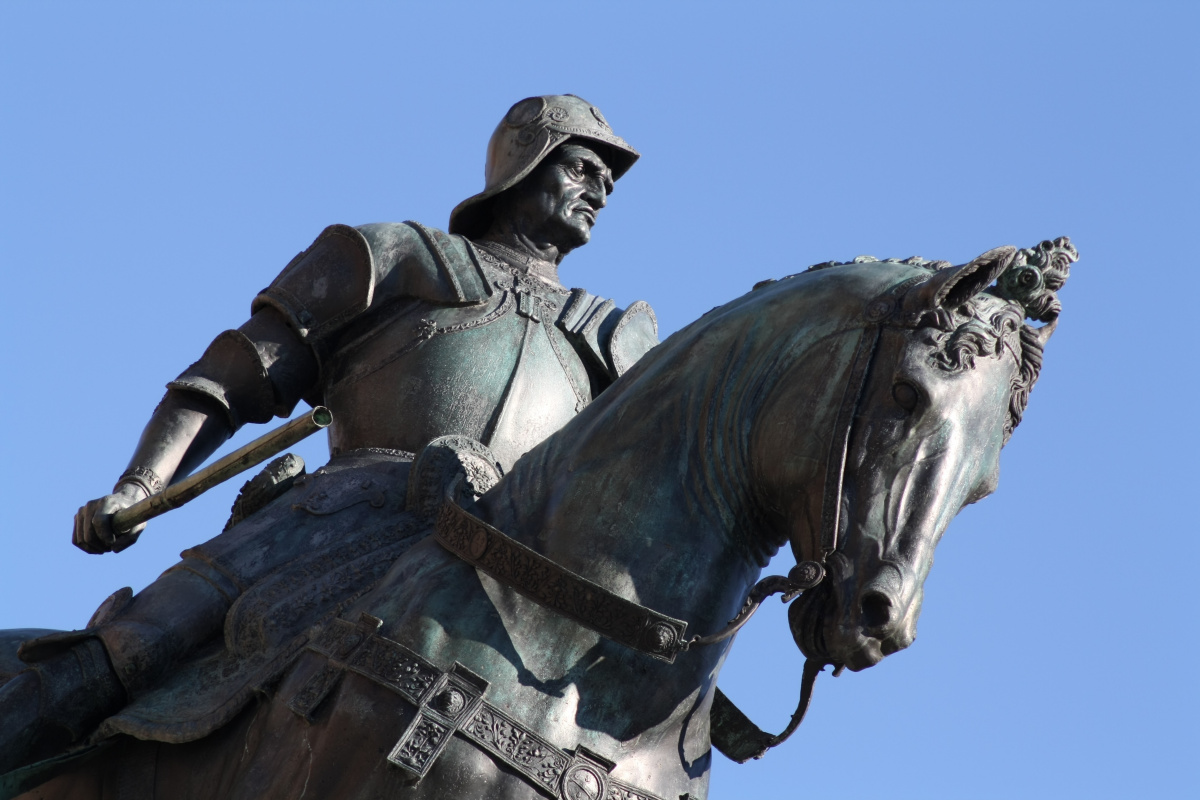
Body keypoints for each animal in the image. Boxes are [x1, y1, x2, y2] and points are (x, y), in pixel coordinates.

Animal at [4, 237, 1075, 800]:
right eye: (904, 395)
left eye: (983, 484)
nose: (878, 618)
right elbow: (249, 365)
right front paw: (120, 507)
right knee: (114, 653)